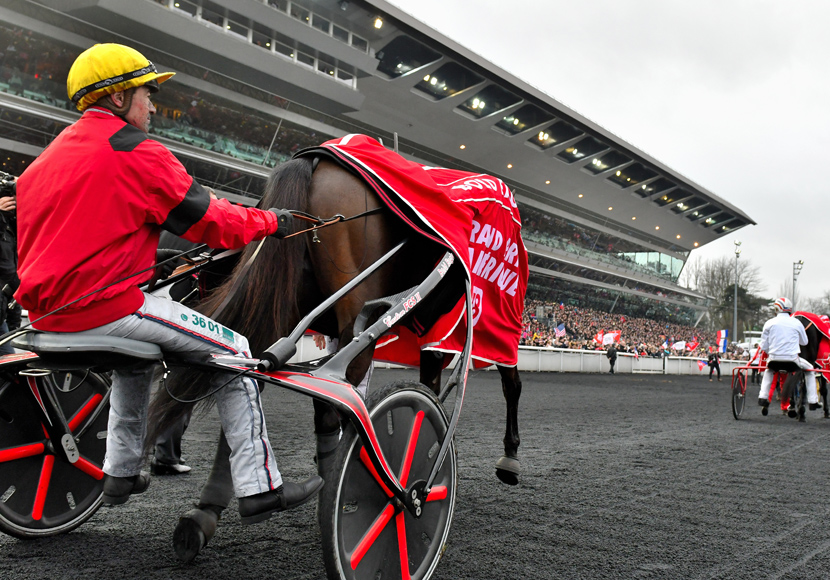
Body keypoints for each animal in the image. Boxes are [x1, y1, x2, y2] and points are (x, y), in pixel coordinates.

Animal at [146, 157, 524, 560]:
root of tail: (316, 160)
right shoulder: (468, 330)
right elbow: (504, 382)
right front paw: (507, 456)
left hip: (284, 305)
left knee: (252, 379)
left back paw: (213, 510)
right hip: (351, 309)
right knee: (333, 398)